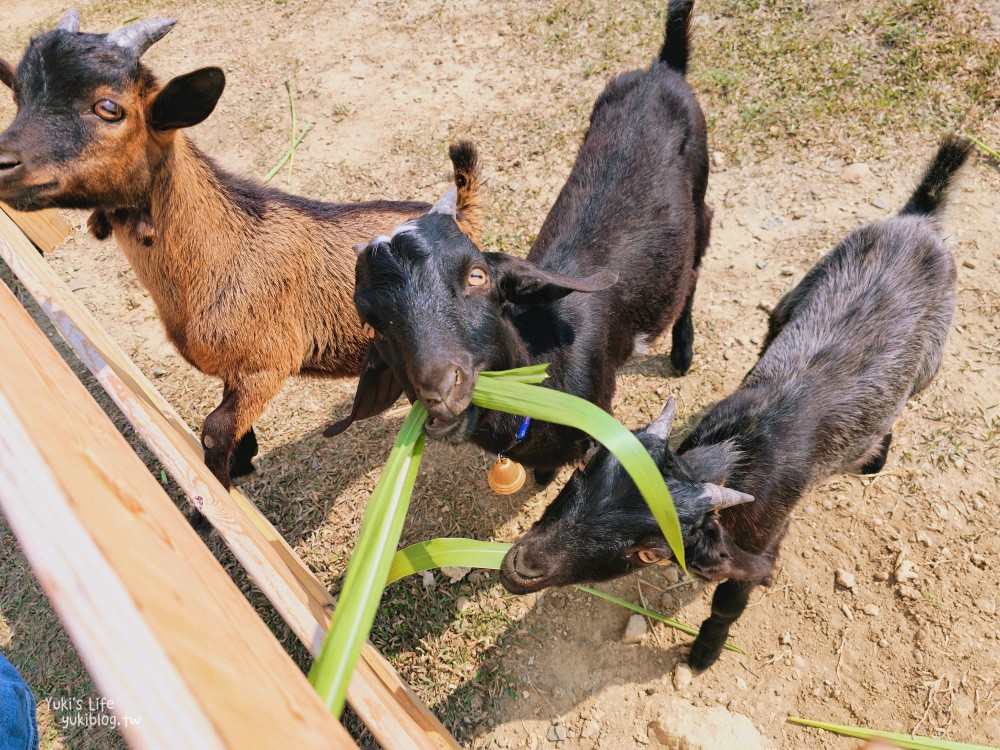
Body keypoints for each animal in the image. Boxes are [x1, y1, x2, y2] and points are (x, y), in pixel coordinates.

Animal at [0, 14, 476, 494]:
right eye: (19, 95)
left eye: (109, 108)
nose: (3, 162)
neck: (225, 253)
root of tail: (462, 209)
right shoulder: (235, 371)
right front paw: (245, 460)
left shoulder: (268, 363)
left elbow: (214, 430)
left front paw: (222, 488)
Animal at [324, 0, 708, 488]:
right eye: (370, 320)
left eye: (478, 276)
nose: (440, 391)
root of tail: (662, 68)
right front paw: (542, 478)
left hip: (700, 186)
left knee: (697, 257)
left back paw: (682, 350)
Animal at [500, 138, 968, 672]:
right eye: (585, 465)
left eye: (650, 552)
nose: (521, 566)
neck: (744, 446)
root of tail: (919, 220)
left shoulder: (763, 536)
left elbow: (731, 599)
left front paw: (704, 652)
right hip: (792, 300)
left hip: (929, 361)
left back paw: (875, 457)